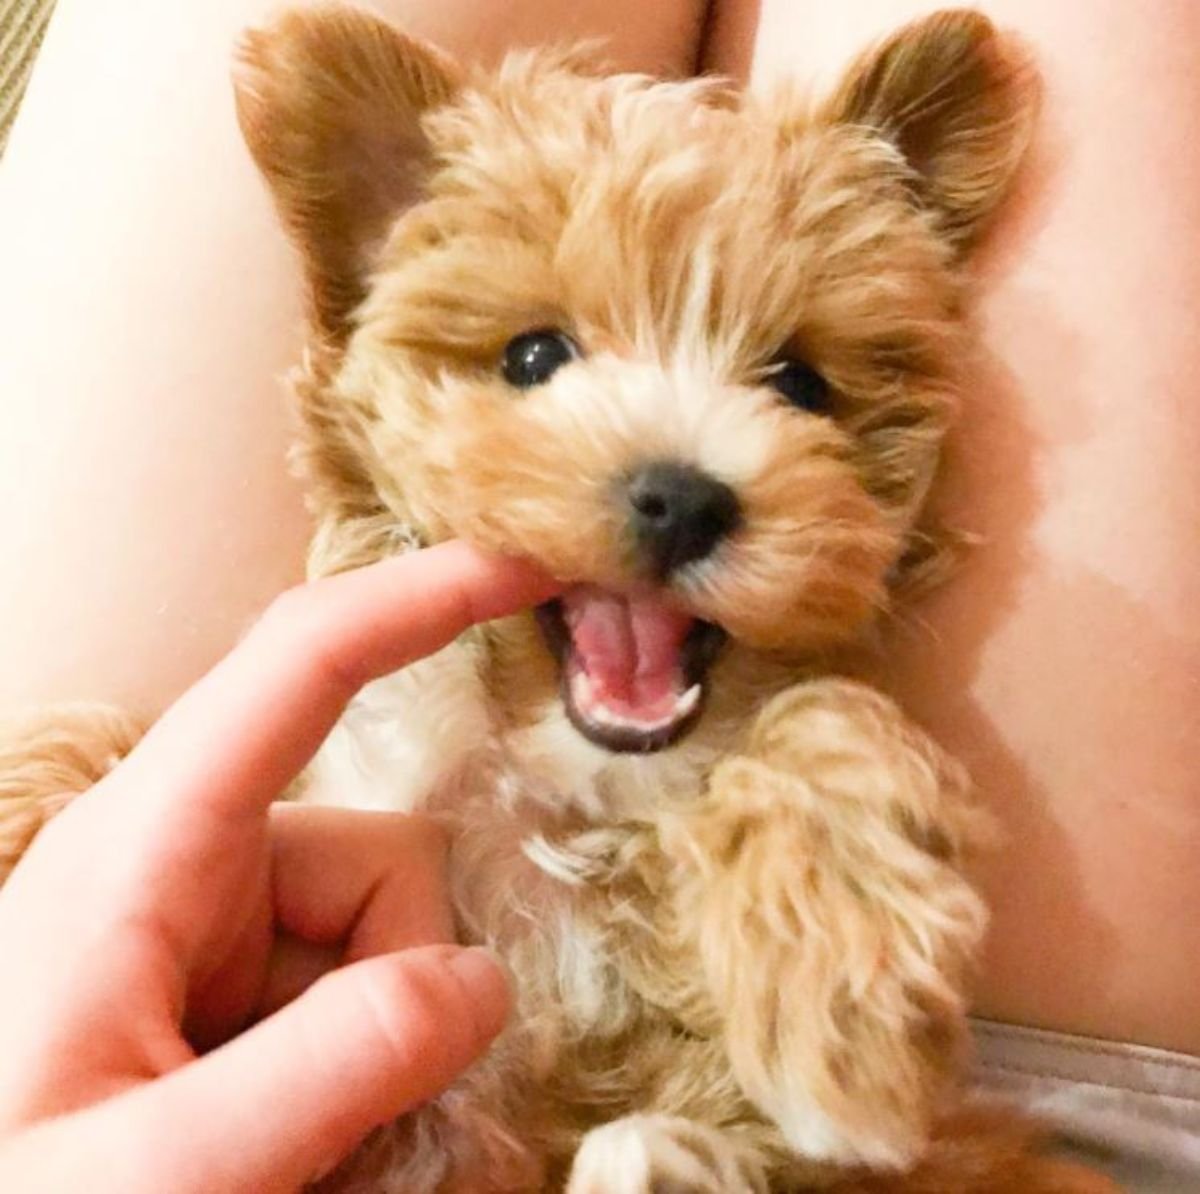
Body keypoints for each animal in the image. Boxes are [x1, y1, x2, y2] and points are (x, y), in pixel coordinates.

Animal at [0, 7, 1104, 1194]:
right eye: (534, 356)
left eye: (802, 384)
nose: (681, 498)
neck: (563, 799)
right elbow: (98, 756)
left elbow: (824, 717)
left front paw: (842, 1009)